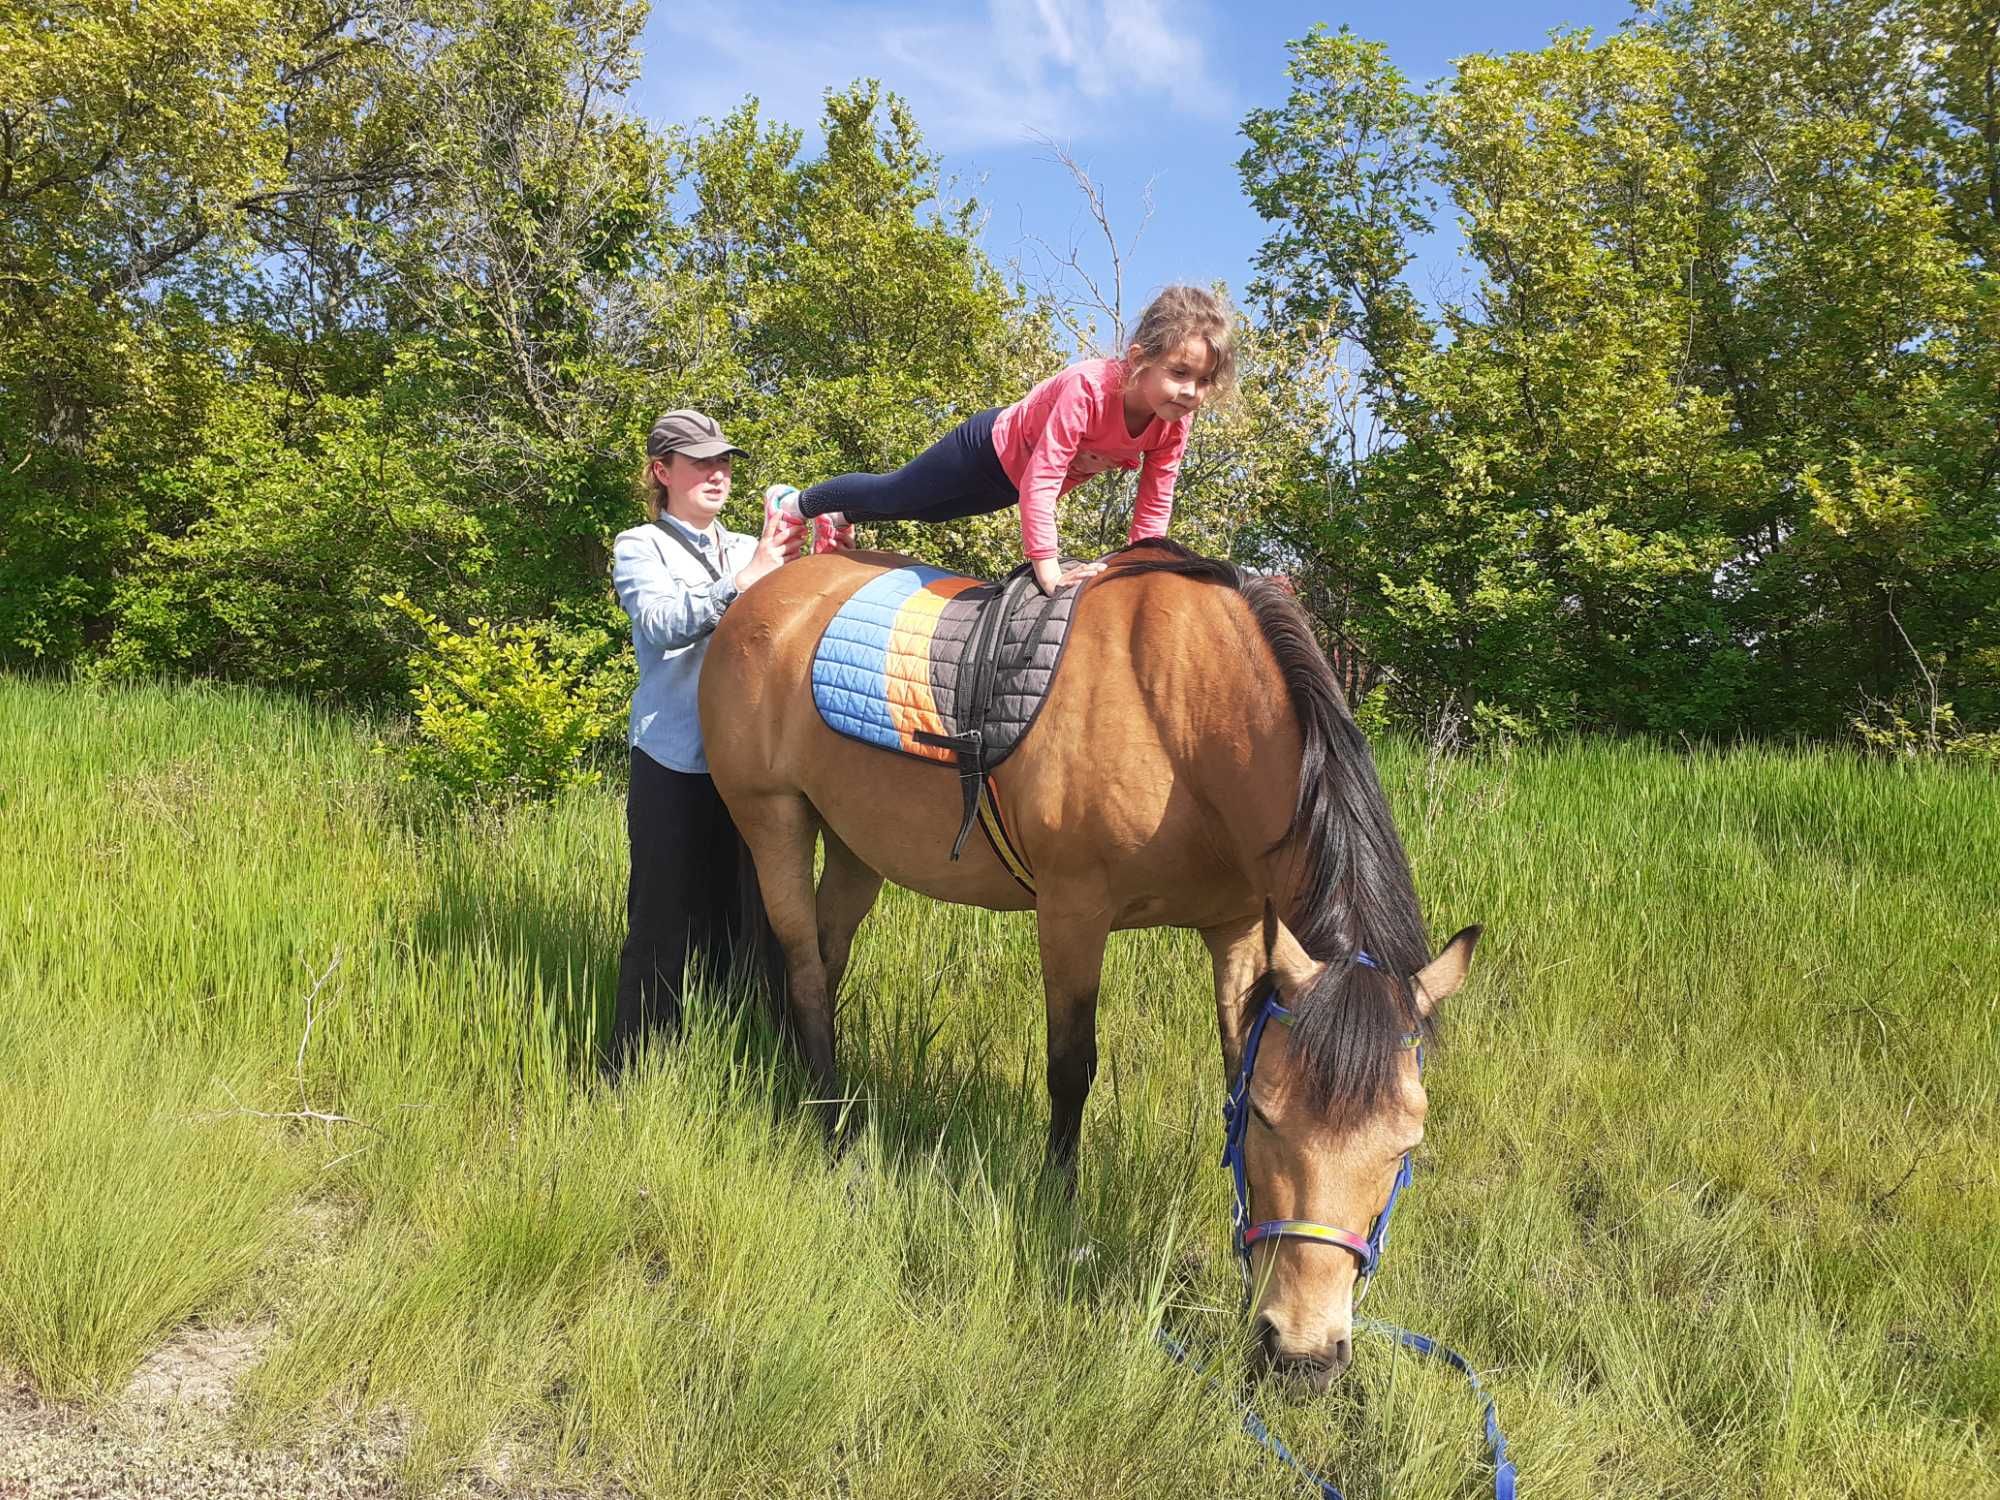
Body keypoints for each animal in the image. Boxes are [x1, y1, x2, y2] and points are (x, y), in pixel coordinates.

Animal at [696, 540, 1480, 1384]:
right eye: (1274, 1120)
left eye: (1408, 1145)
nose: (1302, 1355)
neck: (1186, 714)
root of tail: (763, 593)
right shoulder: (1074, 910)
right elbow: (1072, 1066)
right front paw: (1060, 1216)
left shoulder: (1239, 929)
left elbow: (1232, 1063)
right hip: (771, 816)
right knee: (807, 971)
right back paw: (833, 1130)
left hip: (852, 842)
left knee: (824, 960)